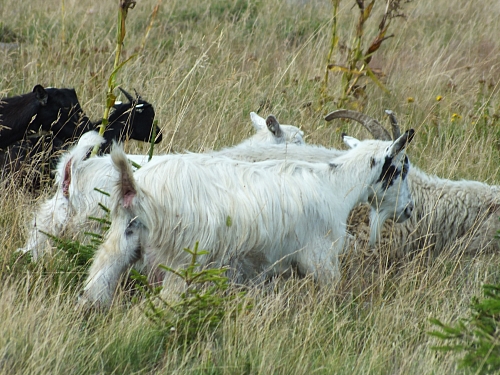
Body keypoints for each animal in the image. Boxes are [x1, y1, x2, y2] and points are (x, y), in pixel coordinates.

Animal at [79, 131, 414, 306]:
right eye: (400, 169)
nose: (409, 210)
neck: (335, 185)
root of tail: (135, 189)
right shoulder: (320, 258)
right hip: (180, 261)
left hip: (123, 239)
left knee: (98, 282)